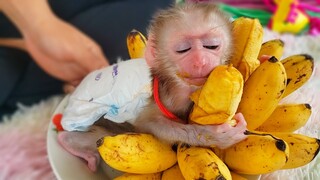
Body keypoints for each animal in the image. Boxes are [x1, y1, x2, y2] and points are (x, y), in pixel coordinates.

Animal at [57, 2, 248, 172]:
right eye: (183, 49)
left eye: (212, 46)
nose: (200, 61)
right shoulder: (166, 98)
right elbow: (150, 124)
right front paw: (216, 135)